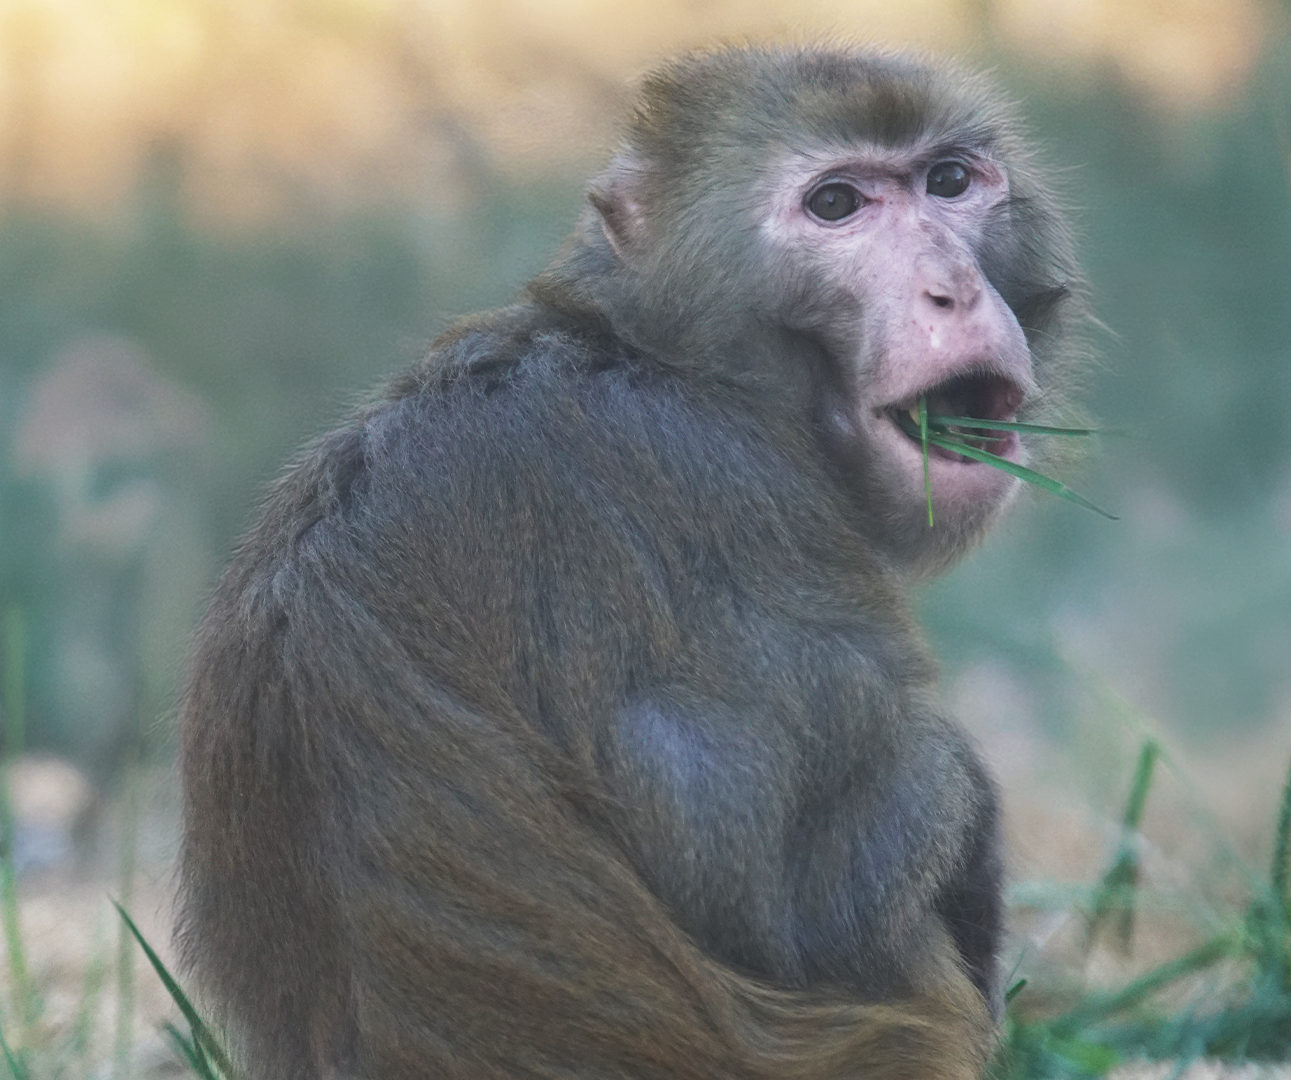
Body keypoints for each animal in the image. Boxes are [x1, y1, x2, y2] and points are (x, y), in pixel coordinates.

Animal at [177, 44, 1083, 1080]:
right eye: (836, 205)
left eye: (949, 182)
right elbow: (797, 897)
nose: (954, 289)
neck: (653, 353)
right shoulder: (716, 494)